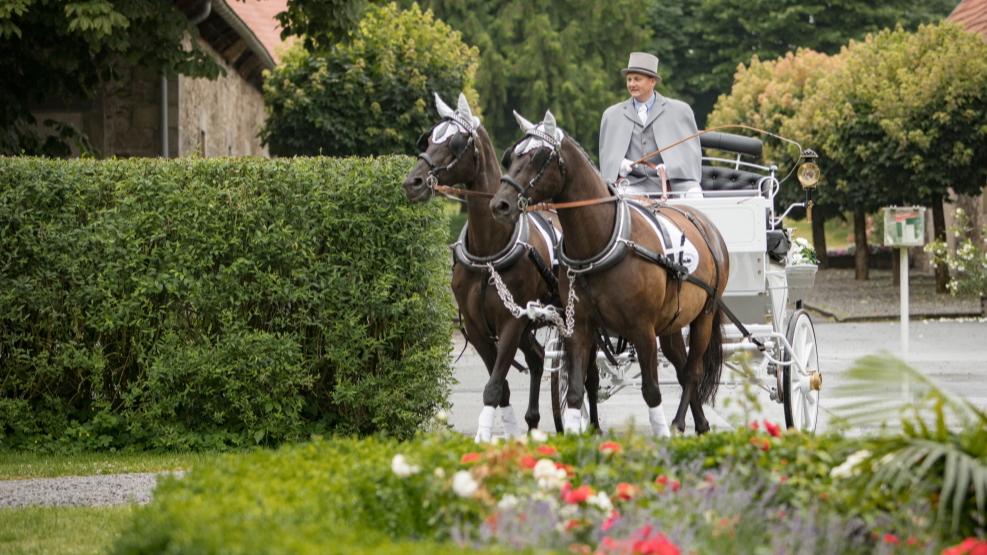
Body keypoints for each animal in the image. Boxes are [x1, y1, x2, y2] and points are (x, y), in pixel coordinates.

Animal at [406, 95, 568, 444]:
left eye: (455, 142)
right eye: (428, 138)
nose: (412, 183)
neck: (488, 251)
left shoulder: (511, 322)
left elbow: (494, 387)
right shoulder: (477, 325)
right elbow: (501, 387)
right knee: (537, 358)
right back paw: (532, 422)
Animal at [490, 111, 728, 436]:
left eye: (538, 157)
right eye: (511, 155)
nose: (499, 204)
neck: (601, 240)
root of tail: (703, 222)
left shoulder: (642, 329)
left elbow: (652, 391)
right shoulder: (579, 326)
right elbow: (575, 390)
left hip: (704, 315)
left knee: (692, 371)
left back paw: (680, 424)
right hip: (672, 323)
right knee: (681, 368)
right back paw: (700, 424)